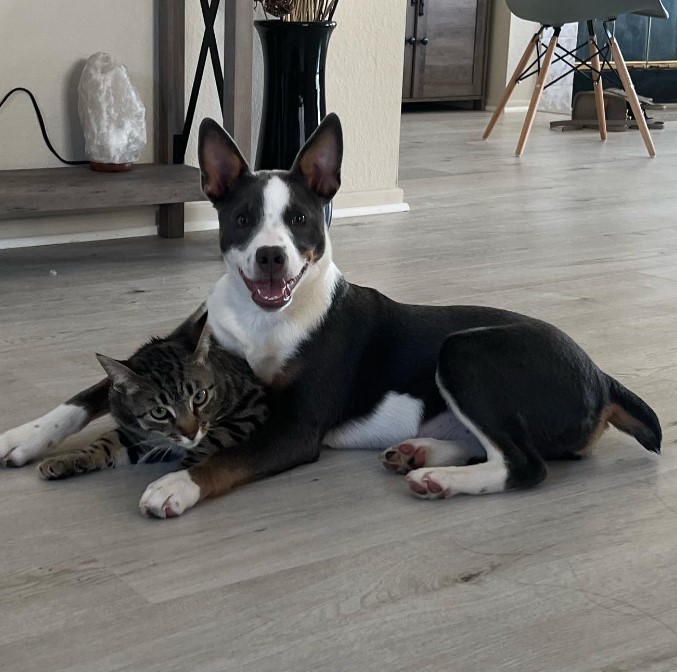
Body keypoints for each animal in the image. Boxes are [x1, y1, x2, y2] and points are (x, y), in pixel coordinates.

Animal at [35, 310, 266, 478]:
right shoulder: (135, 432)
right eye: (159, 412)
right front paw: (64, 460)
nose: (191, 434)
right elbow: (107, 442)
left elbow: (212, 440)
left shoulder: (252, 407)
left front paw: (175, 479)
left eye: (200, 397)